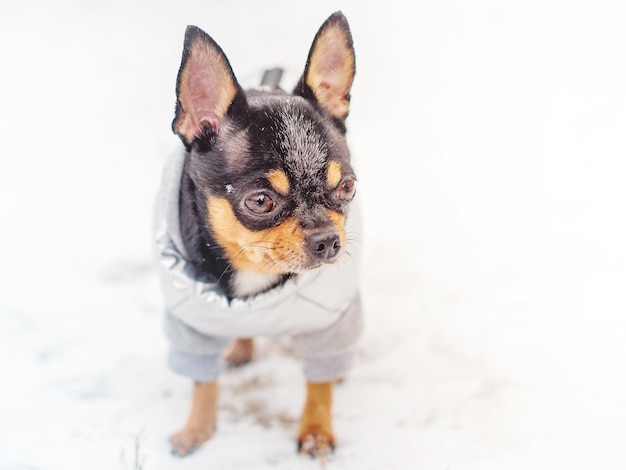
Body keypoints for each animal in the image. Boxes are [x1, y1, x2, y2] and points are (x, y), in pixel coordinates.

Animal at [152, 11, 360, 458]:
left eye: (348, 187)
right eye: (260, 201)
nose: (327, 240)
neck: (253, 267)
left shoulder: (329, 317)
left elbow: (318, 383)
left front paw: (316, 431)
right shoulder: (194, 323)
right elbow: (203, 380)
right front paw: (197, 428)